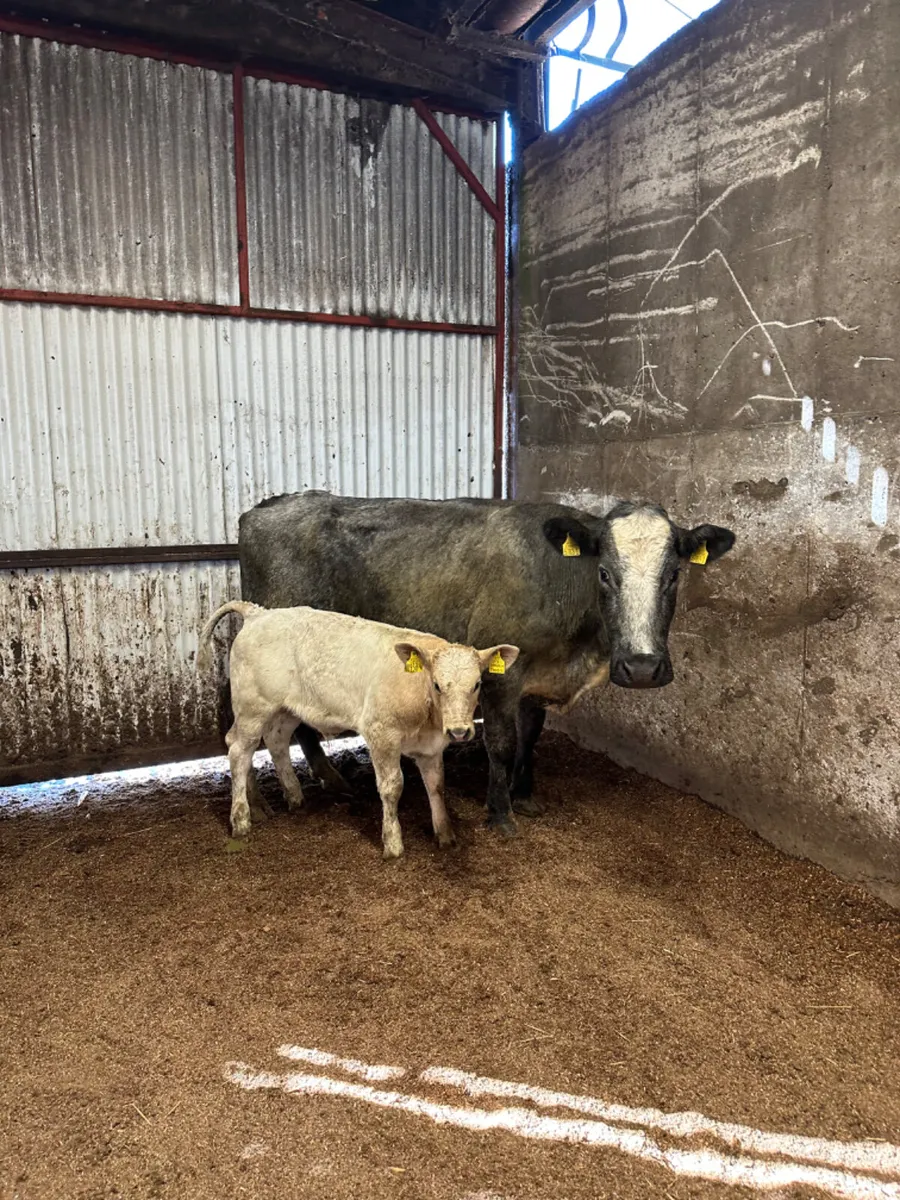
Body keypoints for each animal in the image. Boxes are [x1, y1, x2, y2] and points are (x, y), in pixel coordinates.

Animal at [198, 599, 518, 857]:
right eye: (438, 685)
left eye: (477, 684)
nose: (459, 731)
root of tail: (258, 612)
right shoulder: (381, 733)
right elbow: (392, 787)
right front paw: (393, 844)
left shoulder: (431, 747)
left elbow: (437, 786)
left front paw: (446, 835)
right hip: (252, 706)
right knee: (239, 748)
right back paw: (242, 817)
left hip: (284, 710)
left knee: (274, 742)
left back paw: (293, 796)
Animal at [237, 492, 736, 836]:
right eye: (604, 573)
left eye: (674, 574)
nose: (642, 667)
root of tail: (268, 505)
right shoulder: (500, 674)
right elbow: (501, 743)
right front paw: (500, 812)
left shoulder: (538, 680)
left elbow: (530, 737)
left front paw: (524, 794)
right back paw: (271, 799)